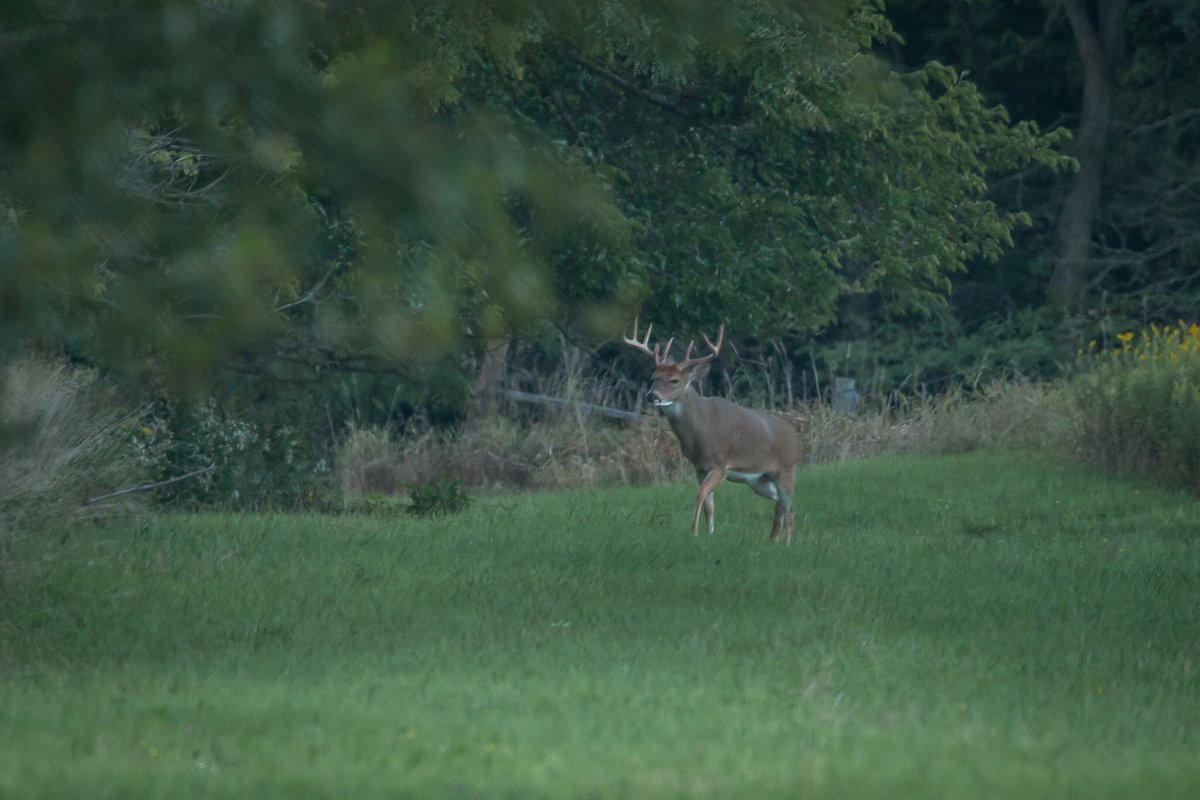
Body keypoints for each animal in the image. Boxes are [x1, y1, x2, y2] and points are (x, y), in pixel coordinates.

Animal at [624, 319, 800, 544]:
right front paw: (709, 534)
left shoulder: (720, 465)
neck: (701, 431)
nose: (650, 396)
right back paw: (773, 540)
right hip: (760, 479)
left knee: (789, 508)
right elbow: (709, 505)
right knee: (781, 506)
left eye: (674, 380)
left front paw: (693, 531)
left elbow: (699, 495)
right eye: (654, 376)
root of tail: (794, 433)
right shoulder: (699, 468)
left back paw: (786, 544)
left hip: (786, 470)